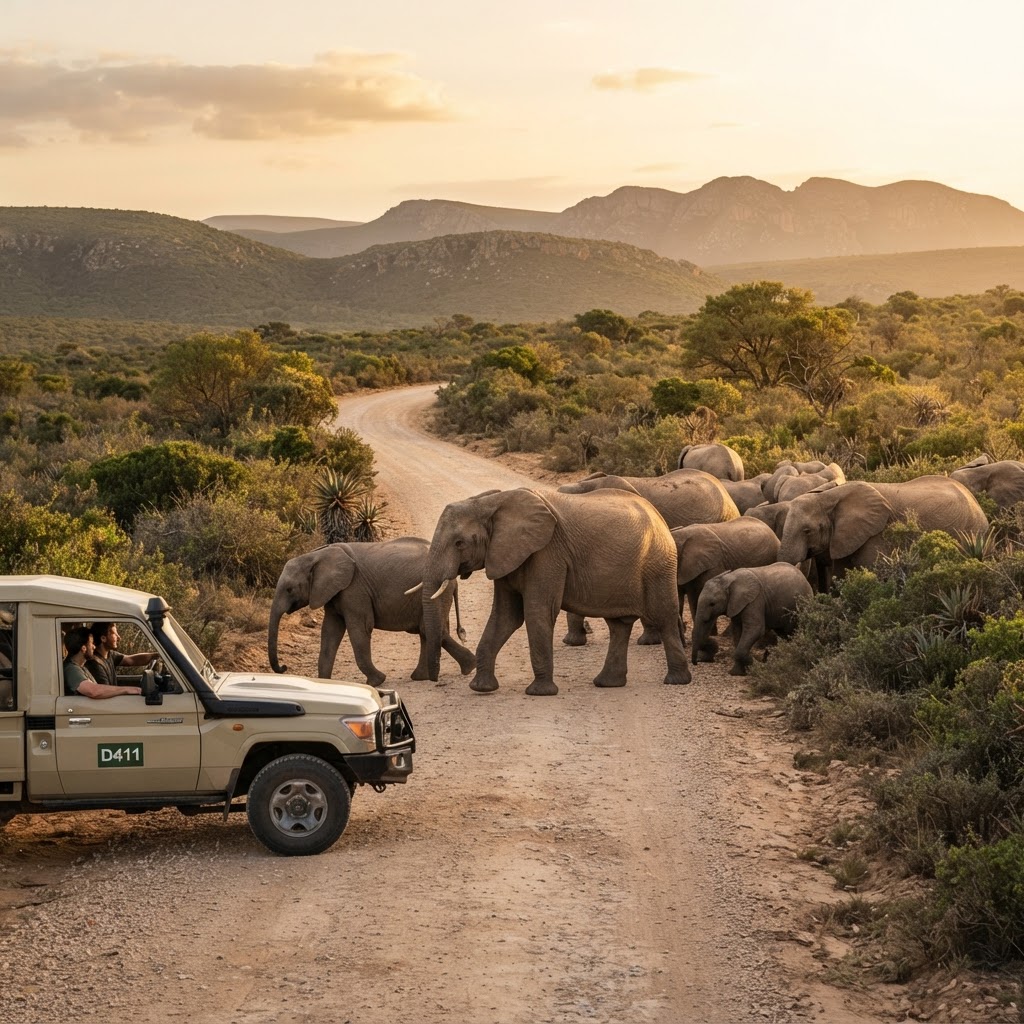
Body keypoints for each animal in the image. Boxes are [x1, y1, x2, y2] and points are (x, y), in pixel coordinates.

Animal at [268, 538, 476, 685]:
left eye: (289, 589)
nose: (283, 667)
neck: (316, 555)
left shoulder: (354, 588)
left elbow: (359, 629)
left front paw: (377, 682)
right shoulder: (334, 592)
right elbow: (330, 631)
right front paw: (323, 685)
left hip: (436, 591)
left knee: (430, 629)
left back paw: (467, 667)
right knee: (428, 630)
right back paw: (423, 676)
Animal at [419, 487, 691, 695]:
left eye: (459, 543)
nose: (434, 680)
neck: (491, 501)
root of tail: (660, 517)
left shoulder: (547, 553)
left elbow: (537, 612)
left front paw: (539, 692)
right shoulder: (505, 555)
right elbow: (505, 617)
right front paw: (481, 688)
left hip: (659, 563)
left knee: (664, 617)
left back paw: (676, 681)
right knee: (619, 626)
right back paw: (607, 684)